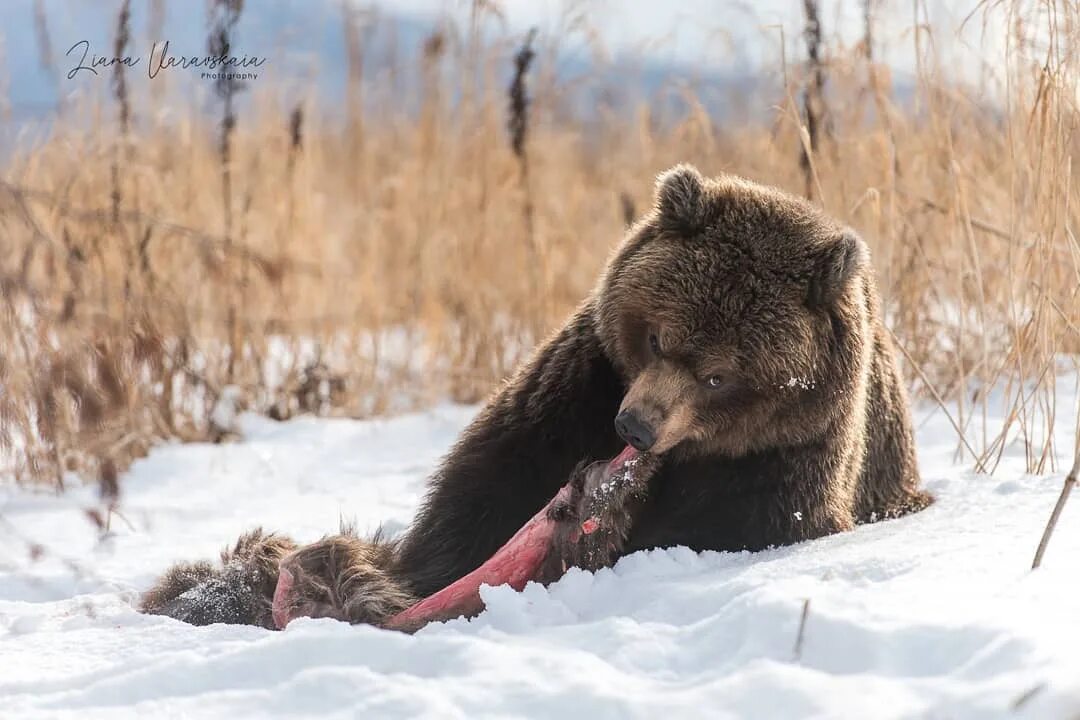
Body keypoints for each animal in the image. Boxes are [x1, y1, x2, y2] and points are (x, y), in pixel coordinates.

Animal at [141, 165, 928, 630]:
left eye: (720, 375)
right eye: (658, 337)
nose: (635, 429)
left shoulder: (788, 458)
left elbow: (729, 525)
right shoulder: (579, 387)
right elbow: (476, 497)